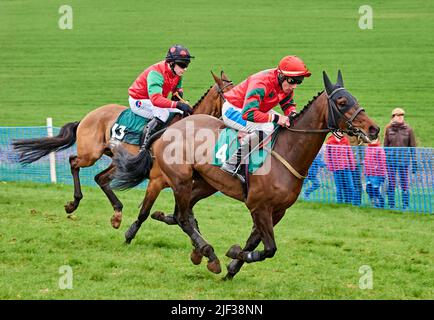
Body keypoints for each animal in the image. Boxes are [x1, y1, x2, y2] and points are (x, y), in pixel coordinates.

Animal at [11, 71, 232, 229]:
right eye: (227, 95)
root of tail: (87, 117)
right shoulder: (164, 178)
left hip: (120, 162)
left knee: (100, 178)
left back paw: (117, 213)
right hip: (90, 154)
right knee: (74, 161)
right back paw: (74, 202)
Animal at [112, 70, 380, 278]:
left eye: (354, 98)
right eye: (342, 102)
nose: (374, 129)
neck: (287, 151)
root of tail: (169, 128)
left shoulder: (277, 210)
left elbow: (256, 242)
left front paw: (232, 269)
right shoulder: (259, 206)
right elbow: (270, 248)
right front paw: (231, 254)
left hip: (205, 183)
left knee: (183, 214)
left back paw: (196, 249)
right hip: (180, 180)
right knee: (183, 217)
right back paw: (208, 253)